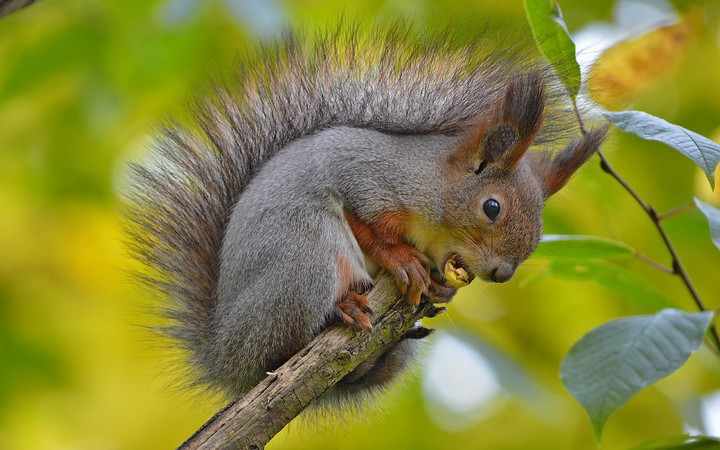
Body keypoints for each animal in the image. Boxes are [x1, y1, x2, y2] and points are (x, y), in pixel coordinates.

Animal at [125, 24, 607, 403]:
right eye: (492, 207)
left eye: (540, 228)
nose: (503, 274)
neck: (433, 191)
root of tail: (225, 353)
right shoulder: (360, 177)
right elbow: (366, 227)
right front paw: (402, 259)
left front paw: (439, 288)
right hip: (302, 266)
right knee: (279, 348)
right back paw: (341, 310)